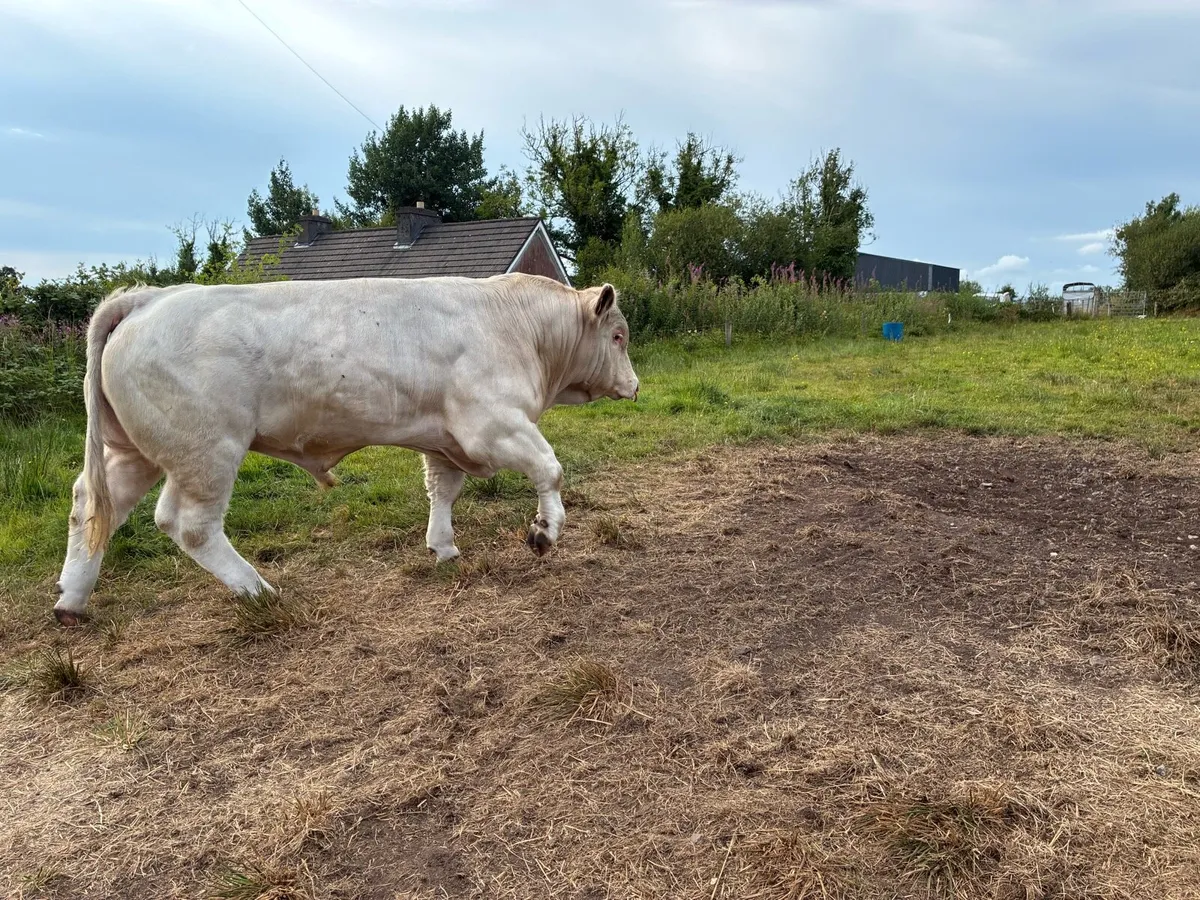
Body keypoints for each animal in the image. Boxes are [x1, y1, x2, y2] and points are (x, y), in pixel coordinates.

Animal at [53, 273, 639, 626]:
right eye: (618, 337)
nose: (634, 386)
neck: (517, 324)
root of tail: (148, 297)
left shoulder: (445, 439)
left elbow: (442, 491)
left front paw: (443, 547)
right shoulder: (492, 424)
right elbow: (549, 469)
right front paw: (544, 532)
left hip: (135, 452)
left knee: (92, 505)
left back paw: (71, 599)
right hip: (206, 453)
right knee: (189, 525)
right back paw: (258, 591)